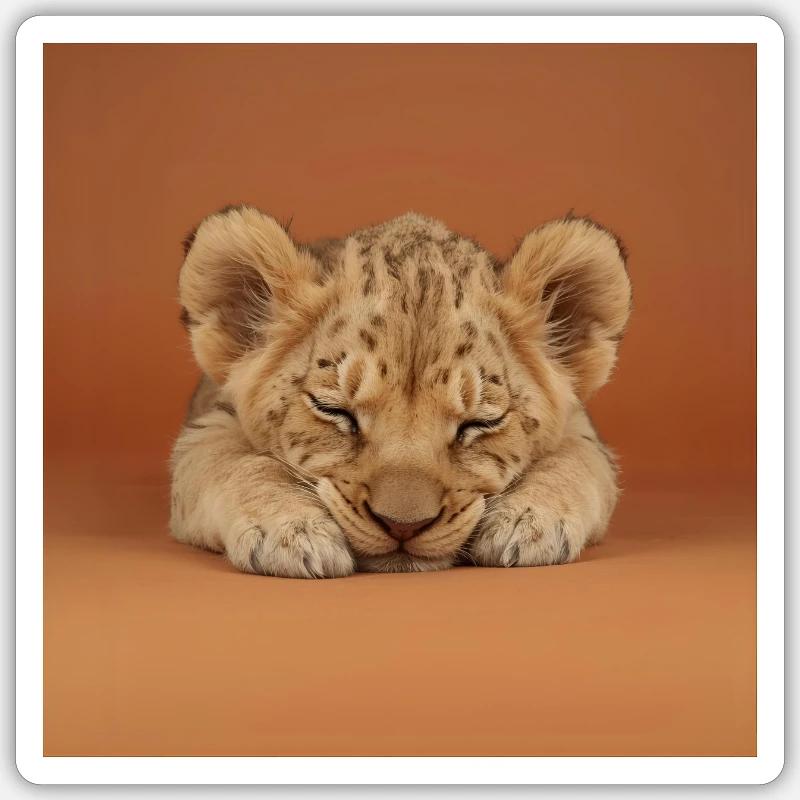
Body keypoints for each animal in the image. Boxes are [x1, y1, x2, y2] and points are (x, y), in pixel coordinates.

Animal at [169, 205, 631, 577]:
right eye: (334, 411)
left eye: (480, 423)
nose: (403, 525)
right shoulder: (206, 427)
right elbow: (238, 464)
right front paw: (289, 531)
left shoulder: (582, 430)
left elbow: (572, 462)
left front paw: (530, 522)